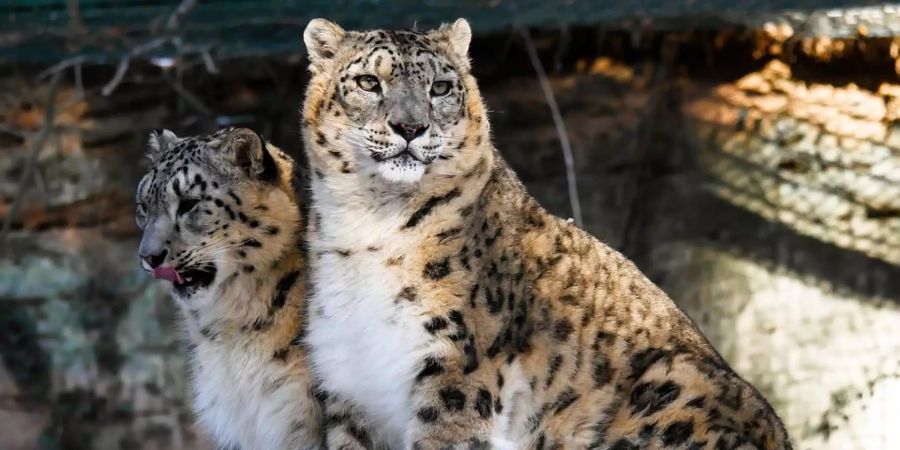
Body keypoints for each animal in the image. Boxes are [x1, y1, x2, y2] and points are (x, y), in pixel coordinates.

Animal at [300, 17, 788, 450]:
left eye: (440, 87)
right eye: (368, 82)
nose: (410, 127)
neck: (370, 221)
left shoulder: (457, 370)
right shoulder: (350, 385)